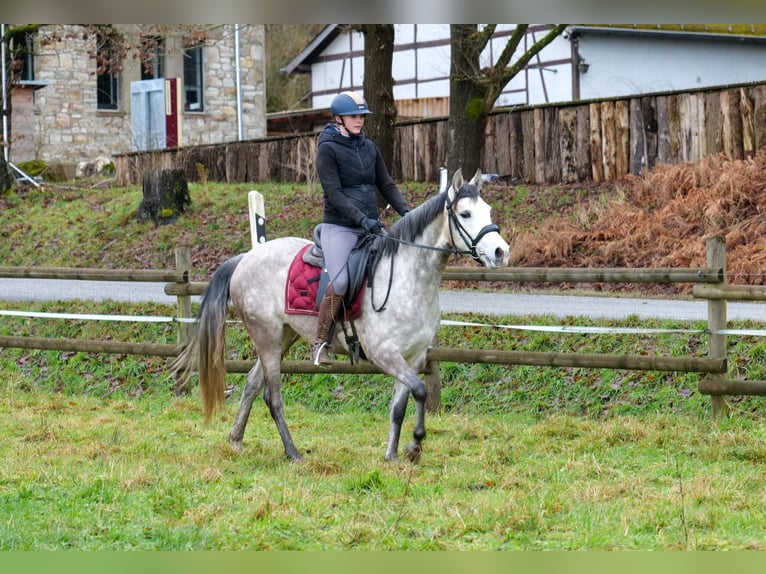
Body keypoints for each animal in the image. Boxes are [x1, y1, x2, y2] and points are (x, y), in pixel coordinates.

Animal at [172, 169, 512, 466]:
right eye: (465, 214)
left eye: (488, 210)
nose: (501, 252)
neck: (408, 276)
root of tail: (246, 258)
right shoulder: (385, 354)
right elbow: (419, 390)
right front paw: (415, 444)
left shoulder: (413, 357)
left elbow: (399, 405)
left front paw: (392, 455)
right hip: (266, 337)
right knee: (273, 395)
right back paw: (293, 453)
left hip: (283, 336)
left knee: (252, 385)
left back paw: (236, 440)